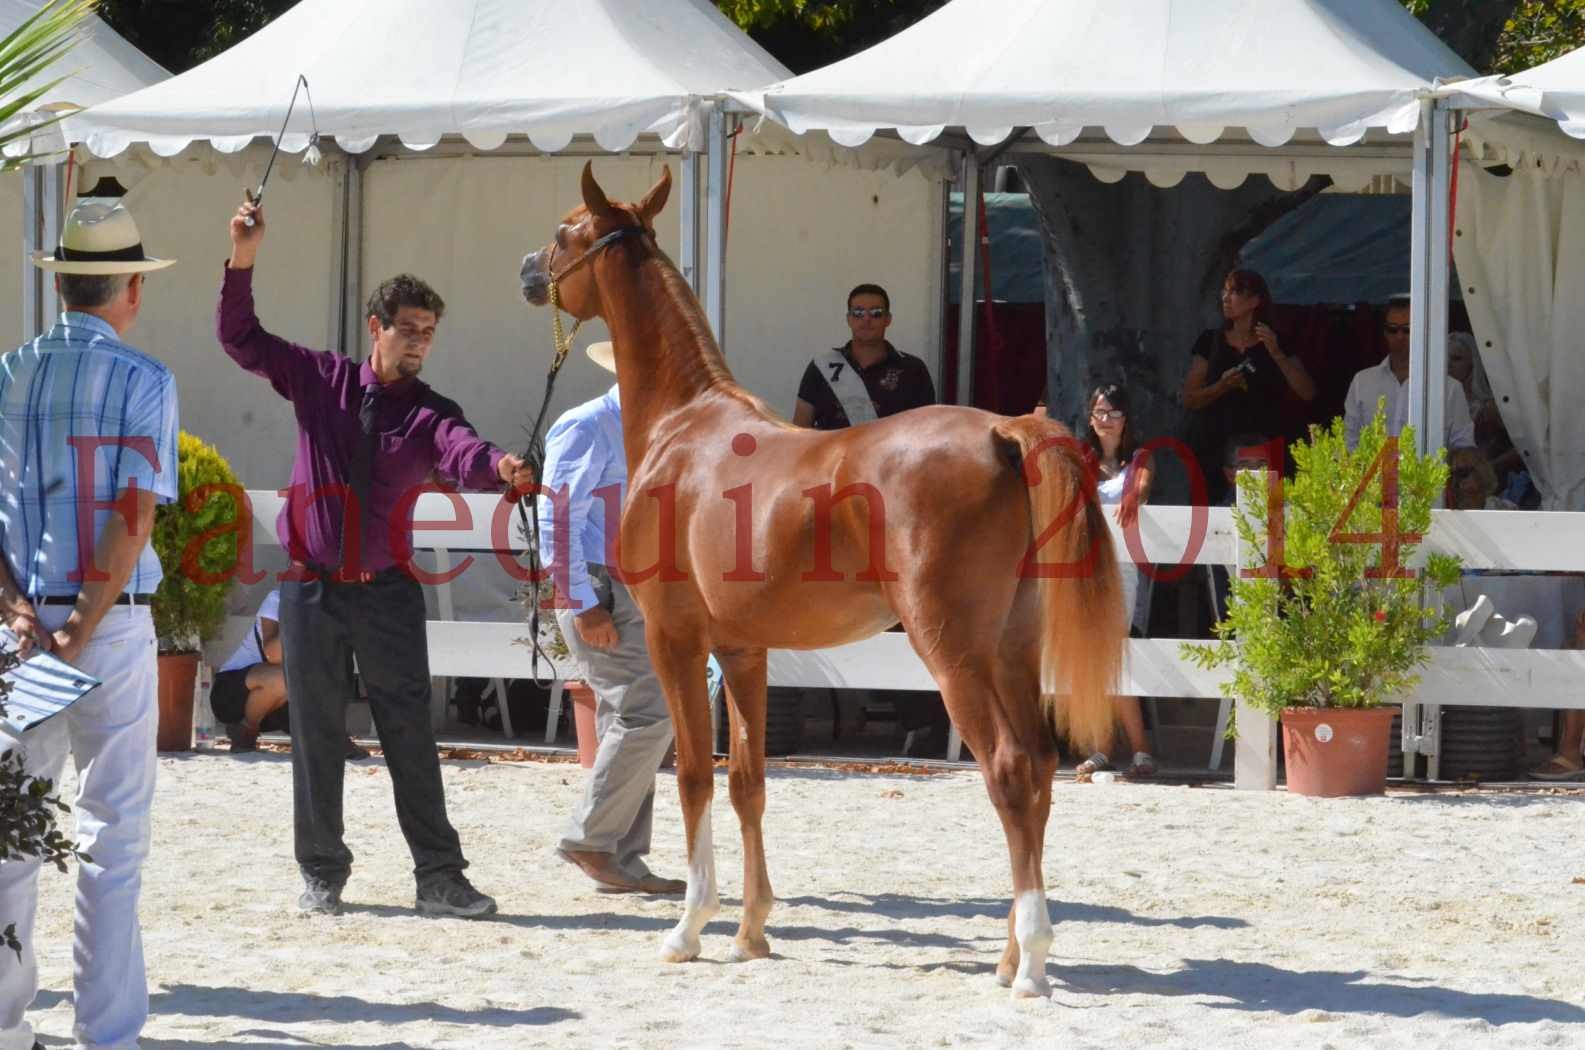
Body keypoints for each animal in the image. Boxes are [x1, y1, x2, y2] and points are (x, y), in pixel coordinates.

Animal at [523, 164, 1128, 1002]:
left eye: (565, 231)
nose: (527, 270)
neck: (685, 425)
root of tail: (1007, 431)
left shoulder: (677, 640)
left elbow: (693, 776)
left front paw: (689, 930)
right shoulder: (742, 650)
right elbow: (747, 780)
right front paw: (750, 933)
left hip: (952, 650)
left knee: (1007, 768)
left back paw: (1031, 965)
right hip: (1009, 648)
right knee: (1037, 766)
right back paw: (1010, 954)